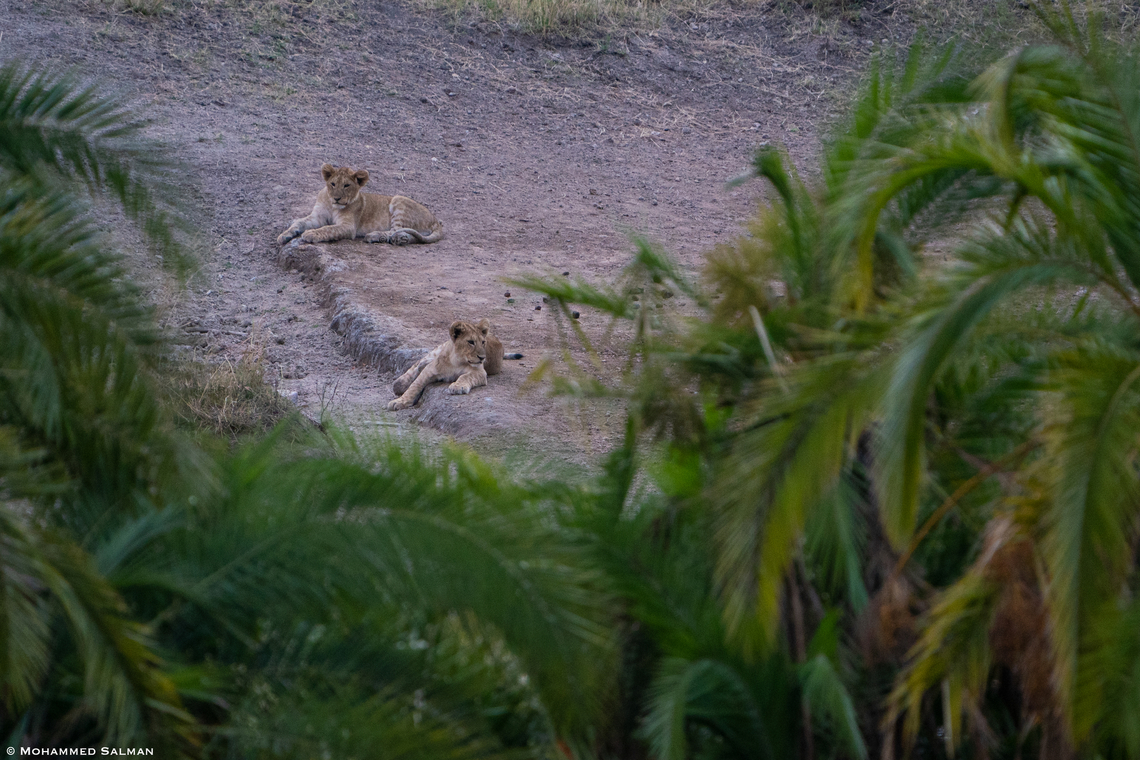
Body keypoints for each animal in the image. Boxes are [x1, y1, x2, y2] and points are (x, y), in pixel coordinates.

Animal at [277, 164, 443, 246]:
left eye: (347, 185)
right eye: (333, 184)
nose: (337, 198)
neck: (331, 205)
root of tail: (435, 219)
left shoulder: (348, 226)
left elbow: (328, 228)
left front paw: (311, 234)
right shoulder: (317, 217)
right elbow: (299, 222)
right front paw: (284, 235)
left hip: (399, 200)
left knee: (396, 229)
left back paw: (374, 236)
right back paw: (399, 240)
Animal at [387, 319, 522, 411]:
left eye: (483, 342)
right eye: (471, 342)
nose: (482, 358)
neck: (456, 360)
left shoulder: (480, 372)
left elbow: (465, 376)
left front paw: (457, 386)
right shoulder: (429, 371)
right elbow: (414, 386)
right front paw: (399, 401)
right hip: (436, 351)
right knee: (419, 363)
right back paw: (400, 383)